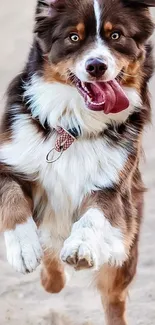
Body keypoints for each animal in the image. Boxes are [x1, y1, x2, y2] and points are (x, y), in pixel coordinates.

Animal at [0, 0, 154, 322]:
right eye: (73, 37)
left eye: (116, 35)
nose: (96, 66)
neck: (73, 127)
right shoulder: (10, 162)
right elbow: (12, 198)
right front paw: (23, 247)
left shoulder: (113, 187)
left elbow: (94, 215)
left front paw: (81, 246)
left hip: (126, 248)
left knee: (113, 301)